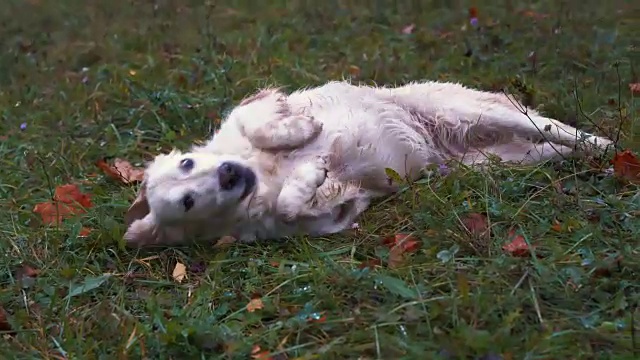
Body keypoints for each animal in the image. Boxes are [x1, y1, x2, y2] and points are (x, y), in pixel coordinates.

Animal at [121, 80, 616, 246]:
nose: (227, 174)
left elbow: (260, 123)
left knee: (556, 126)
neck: (261, 177)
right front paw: (311, 178)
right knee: (553, 148)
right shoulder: (332, 214)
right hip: (500, 161)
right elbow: (295, 207)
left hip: (480, 113)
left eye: (188, 163)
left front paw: (303, 133)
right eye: (187, 202)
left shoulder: (255, 105)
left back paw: (607, 147)